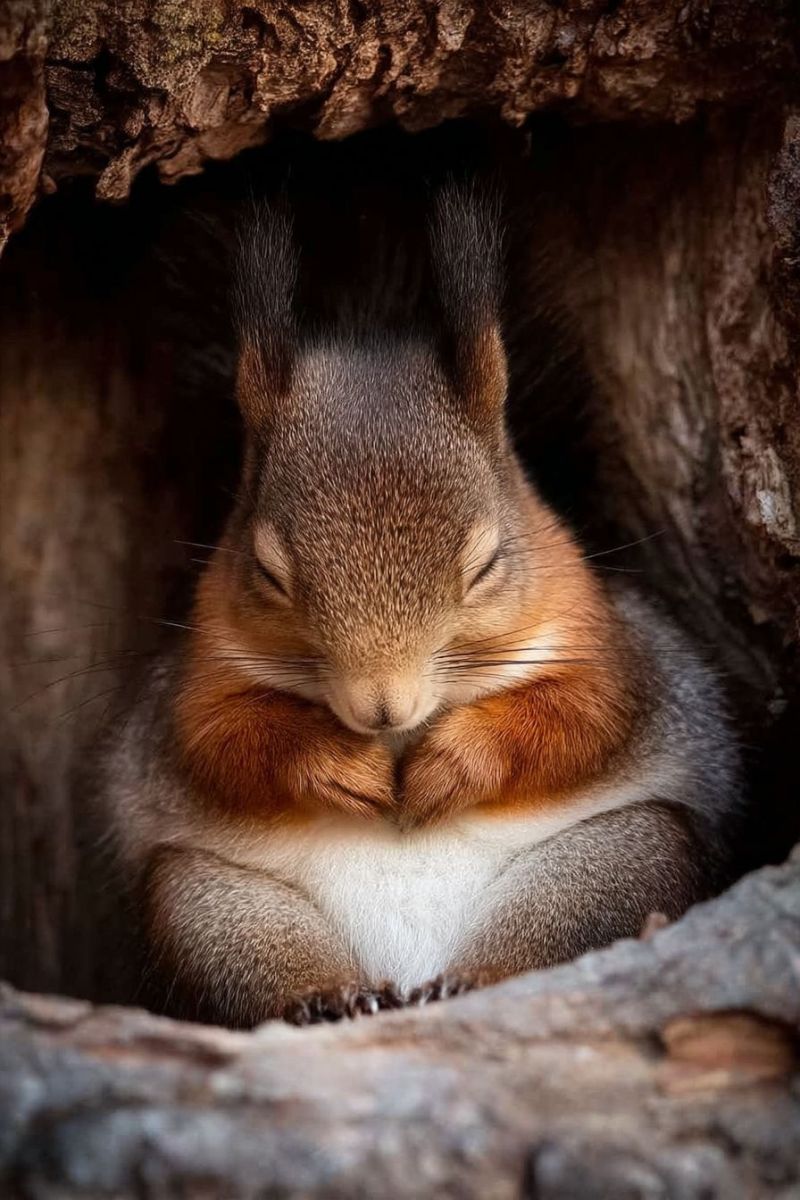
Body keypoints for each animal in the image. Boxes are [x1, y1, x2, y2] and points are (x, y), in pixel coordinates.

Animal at [100, 180, 741, 1027]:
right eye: (268, 571)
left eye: (488, 563)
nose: (382, 709)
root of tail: (408, 975)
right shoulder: (201, 675)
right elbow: (225, 740)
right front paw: (343, 767)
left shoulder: (609, 646)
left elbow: (579, 717)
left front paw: (448, 767)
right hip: (205, 903)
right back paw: (328, 1000)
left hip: (621, 860)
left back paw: (467, 981)